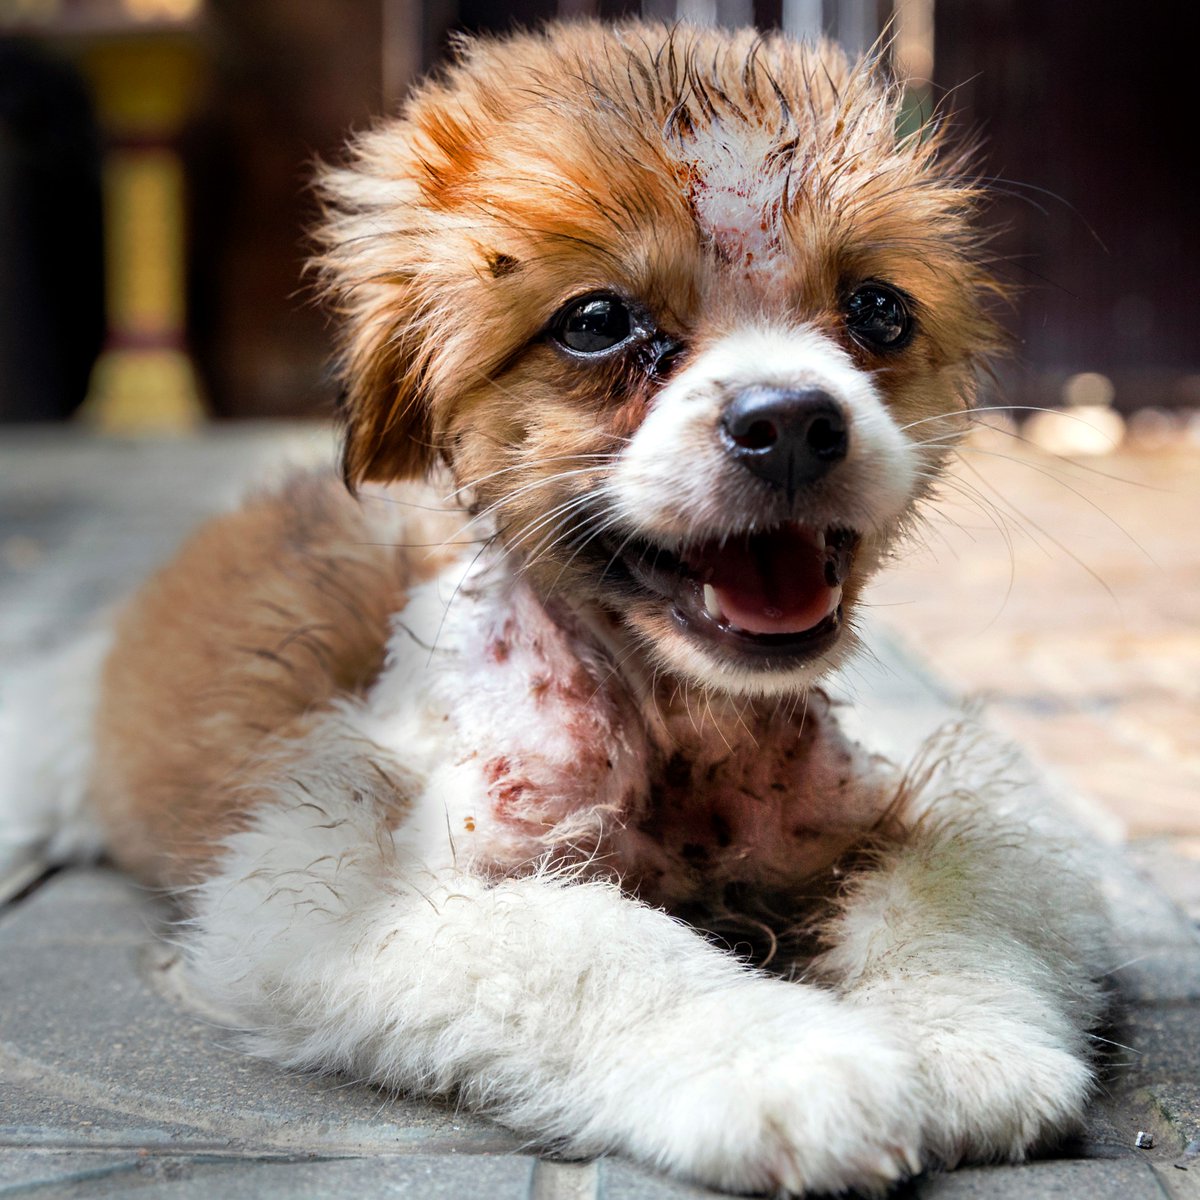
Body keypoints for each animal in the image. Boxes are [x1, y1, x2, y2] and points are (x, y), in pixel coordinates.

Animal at [0, 21, 1104, 1200]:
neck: (677, 729)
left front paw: (961, 1044)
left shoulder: (924, 802)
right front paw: (785, 1065)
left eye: (879, 310)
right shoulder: (330, 880)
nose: (792, 423)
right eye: (596, 322)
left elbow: (964, 880)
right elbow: (594, 948)